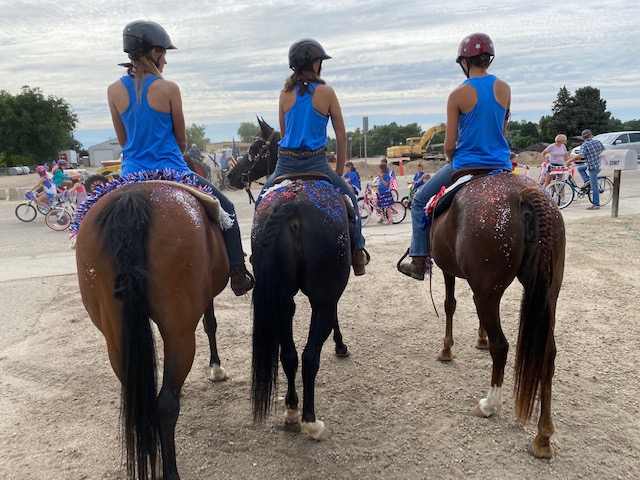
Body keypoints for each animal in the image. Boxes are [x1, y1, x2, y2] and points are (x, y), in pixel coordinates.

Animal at [75, 181, 230, 480]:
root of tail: (133, 200)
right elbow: (211, 323)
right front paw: (216, 368)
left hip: (116, 335)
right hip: (180, 332)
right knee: (165, 405)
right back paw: (169, 470)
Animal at [430, 172, 564, 458]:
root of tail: (524, 194)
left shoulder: (448, 270)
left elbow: (450, 304)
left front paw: (447, 349)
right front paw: (480, 339)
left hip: (488, 292)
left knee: (501, 346)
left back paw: (489, 404)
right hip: (547, 293)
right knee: (547, 354)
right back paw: (543, 436)